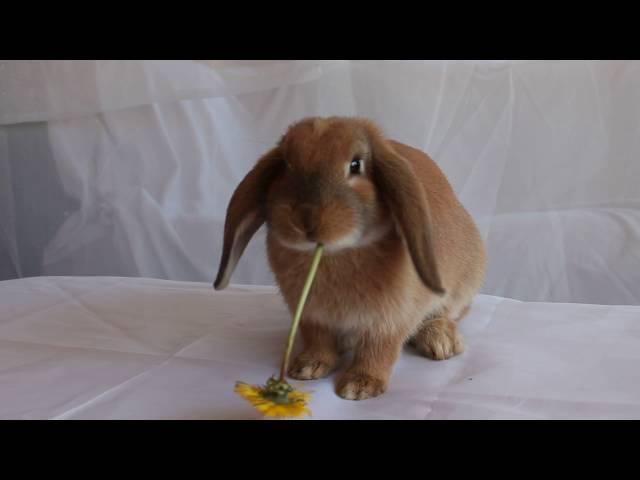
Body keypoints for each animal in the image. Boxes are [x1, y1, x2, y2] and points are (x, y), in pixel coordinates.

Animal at [214, 117, 484, 402]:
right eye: (285, 164)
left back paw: (440, 341)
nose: (306, 219)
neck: (334, 253)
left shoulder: (391, 320)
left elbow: (379, 350)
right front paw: (307, 368)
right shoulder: (311, 316)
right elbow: (318, 341)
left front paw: (360, 386)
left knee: (447, 314)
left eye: (356, 165)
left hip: (459, 290)